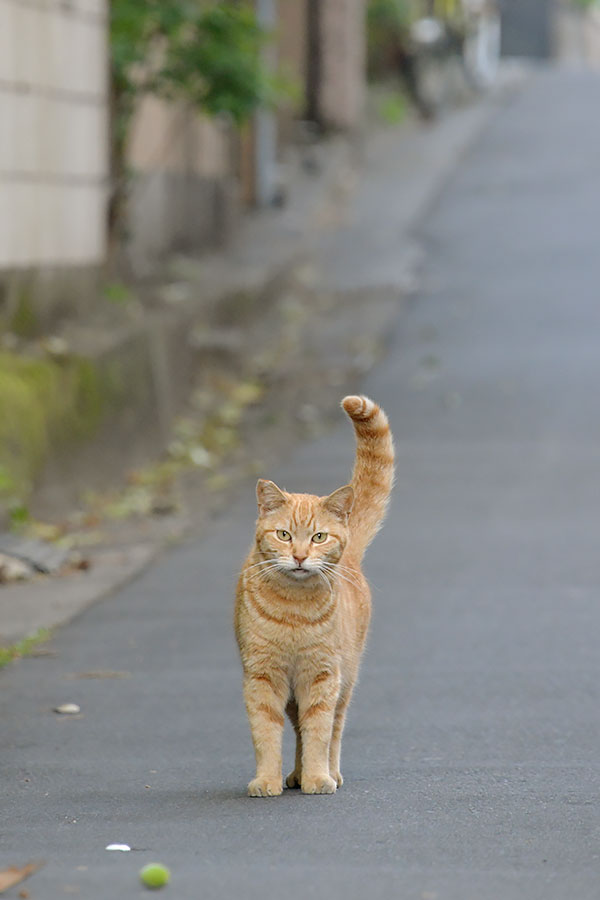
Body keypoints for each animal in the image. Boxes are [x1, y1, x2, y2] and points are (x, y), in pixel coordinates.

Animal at [233, 394, 394, 796]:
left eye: (319, 537)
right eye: (284, 535)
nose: (301, 557)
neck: (293, 607)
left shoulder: (321, 676)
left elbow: (319, 732)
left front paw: (318, 778)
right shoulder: (263, 676)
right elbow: (267, 733)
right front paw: (267, 780)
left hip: (345, 678)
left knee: (333, 729)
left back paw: (327, 774)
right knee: (296, 730)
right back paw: (294, 774)